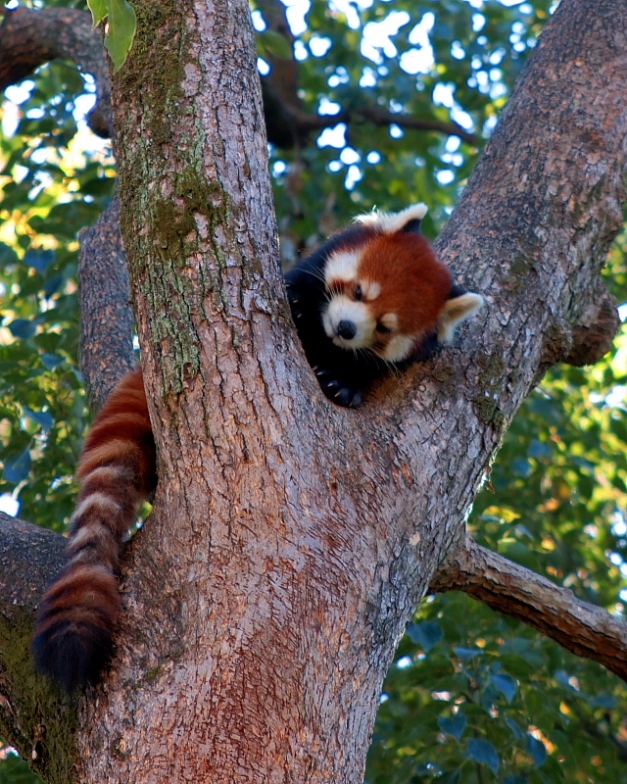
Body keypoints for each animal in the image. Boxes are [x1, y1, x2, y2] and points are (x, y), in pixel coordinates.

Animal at [31, 205, 486, 688]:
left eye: (385, 327)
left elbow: (358, 372)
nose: (345, 329)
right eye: (359, 291)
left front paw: (340, 384)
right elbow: (298, 290)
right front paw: (301, 306)